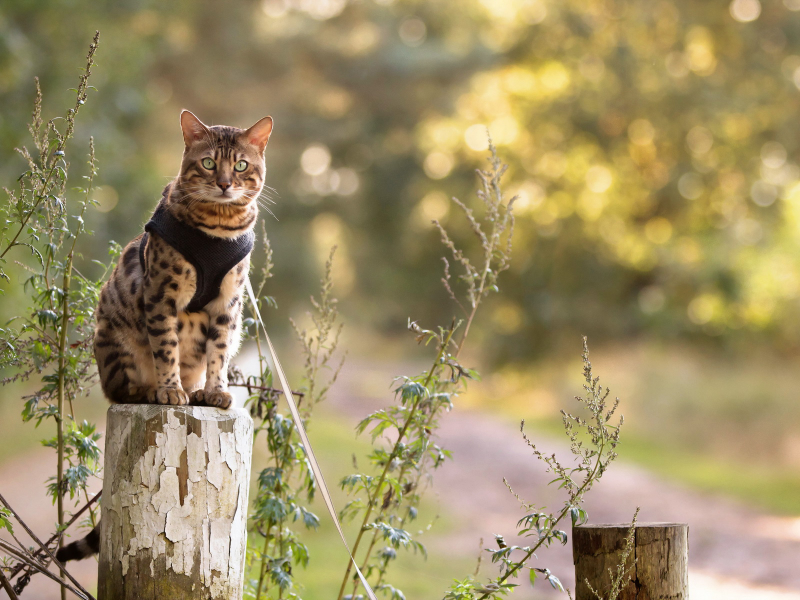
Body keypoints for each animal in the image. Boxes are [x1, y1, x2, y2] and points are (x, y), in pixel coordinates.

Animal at [56, 109, 274, 564]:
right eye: (208, 163)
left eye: (240, 165)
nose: (224, 182)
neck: (219, 226)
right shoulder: (161, 295)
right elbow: (166, 347)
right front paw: (171, 389)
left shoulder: (229, 304)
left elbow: (219, 352)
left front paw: (215, 390)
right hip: (116, 339)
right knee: (120, 389)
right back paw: (153, 389)